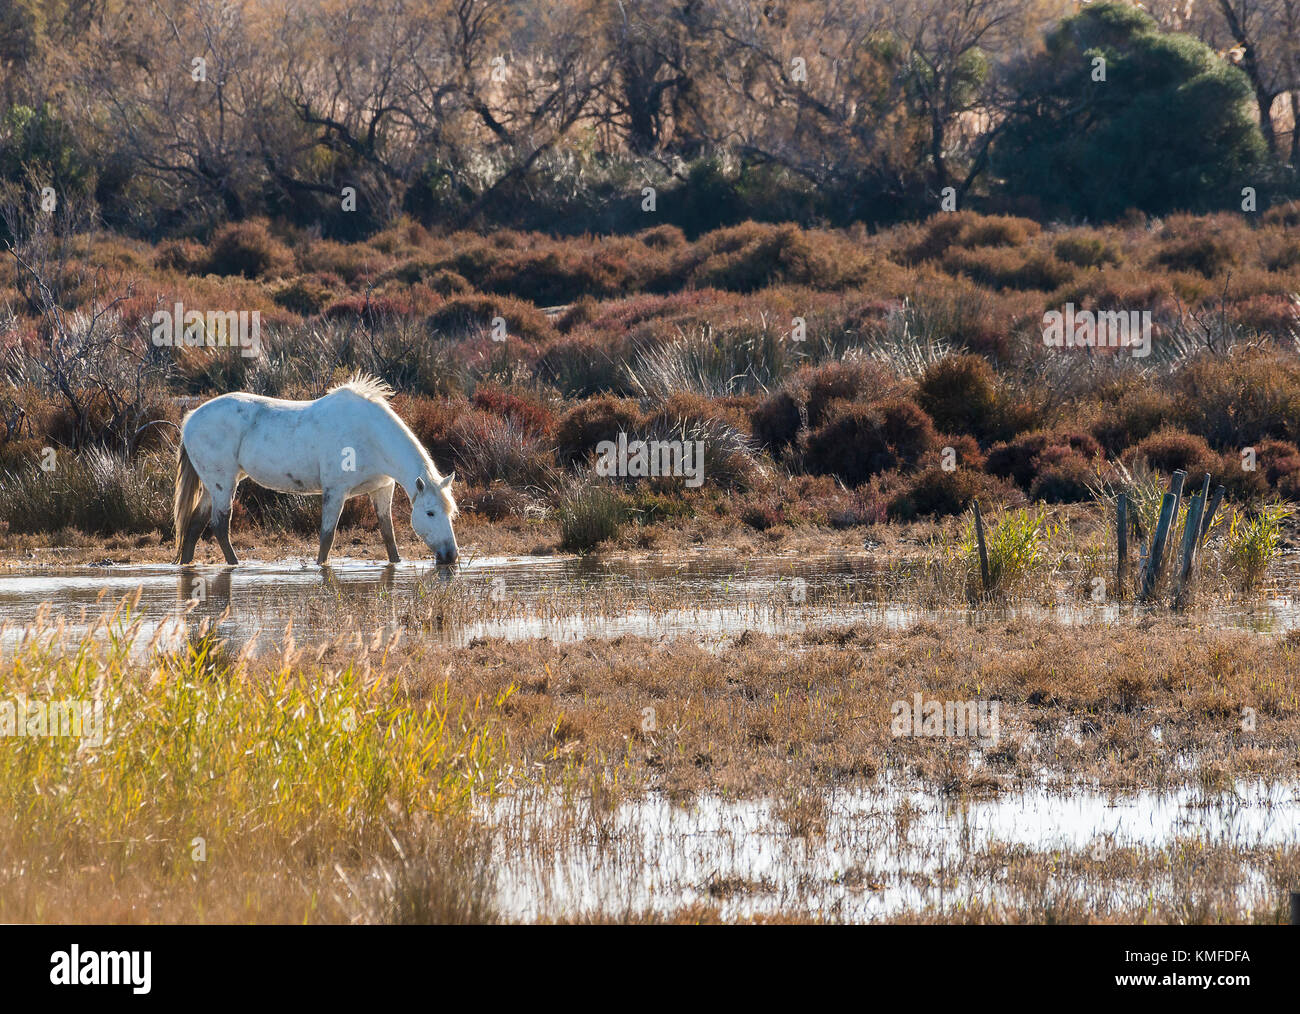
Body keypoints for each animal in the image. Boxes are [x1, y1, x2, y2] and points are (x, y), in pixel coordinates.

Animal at [173, 375, 459, 567]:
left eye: (450, 512)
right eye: (430, 513)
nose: (450, 555)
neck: (370, 435)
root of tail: (190, 419)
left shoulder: (381, 489)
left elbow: (388, 535)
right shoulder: (335, 492)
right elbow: (327, 537)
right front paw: (322, 568)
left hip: (213, 485)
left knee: (195, 525)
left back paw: (187, 565)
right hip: (223, 484)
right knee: (220, 525)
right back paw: (235, 565)